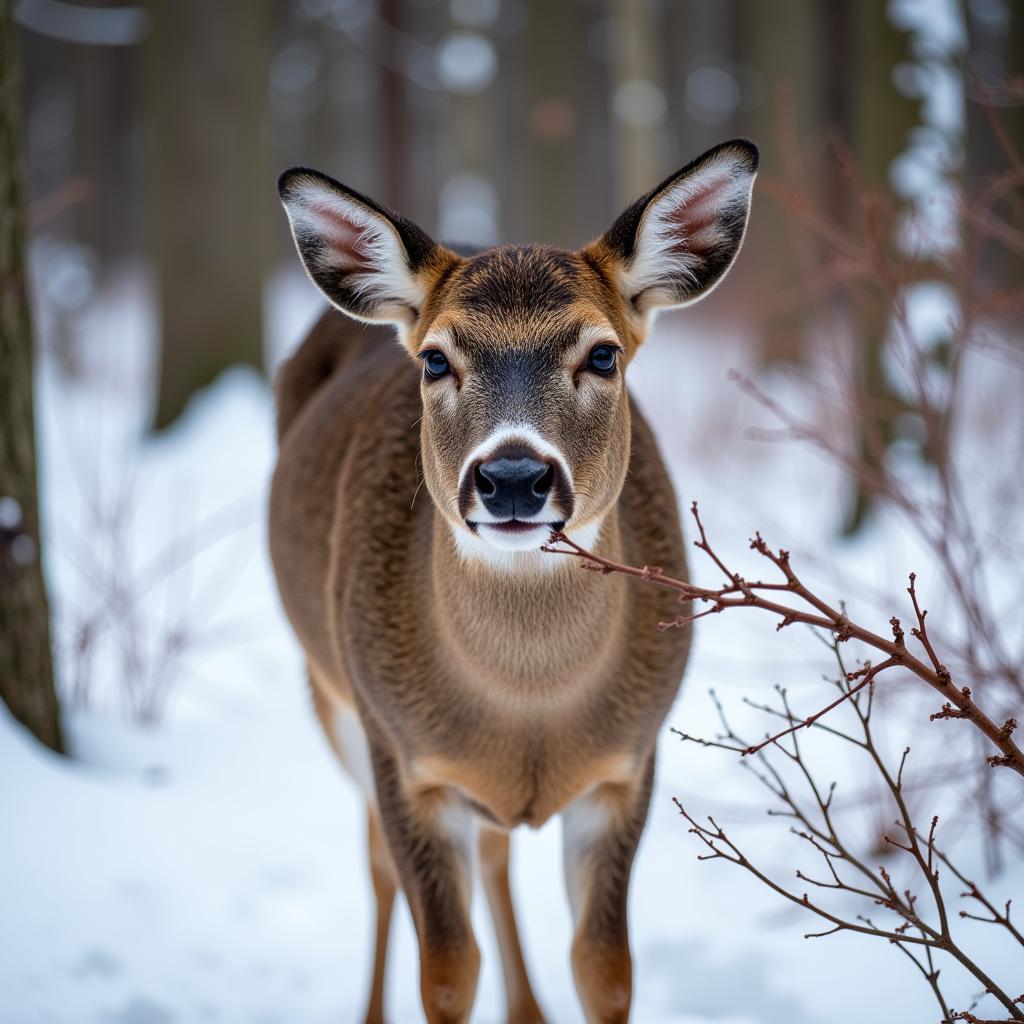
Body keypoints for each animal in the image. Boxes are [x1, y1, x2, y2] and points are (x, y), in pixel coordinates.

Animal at [268, 138, 757, 1024]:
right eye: (436, 358)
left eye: (602, 352)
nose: (515, 477)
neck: (528, 711)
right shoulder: (407, 760)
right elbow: (446, 974)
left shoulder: (627, 763)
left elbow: (605, 970)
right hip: (331, 691)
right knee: (377, 862)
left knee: (495, 849)